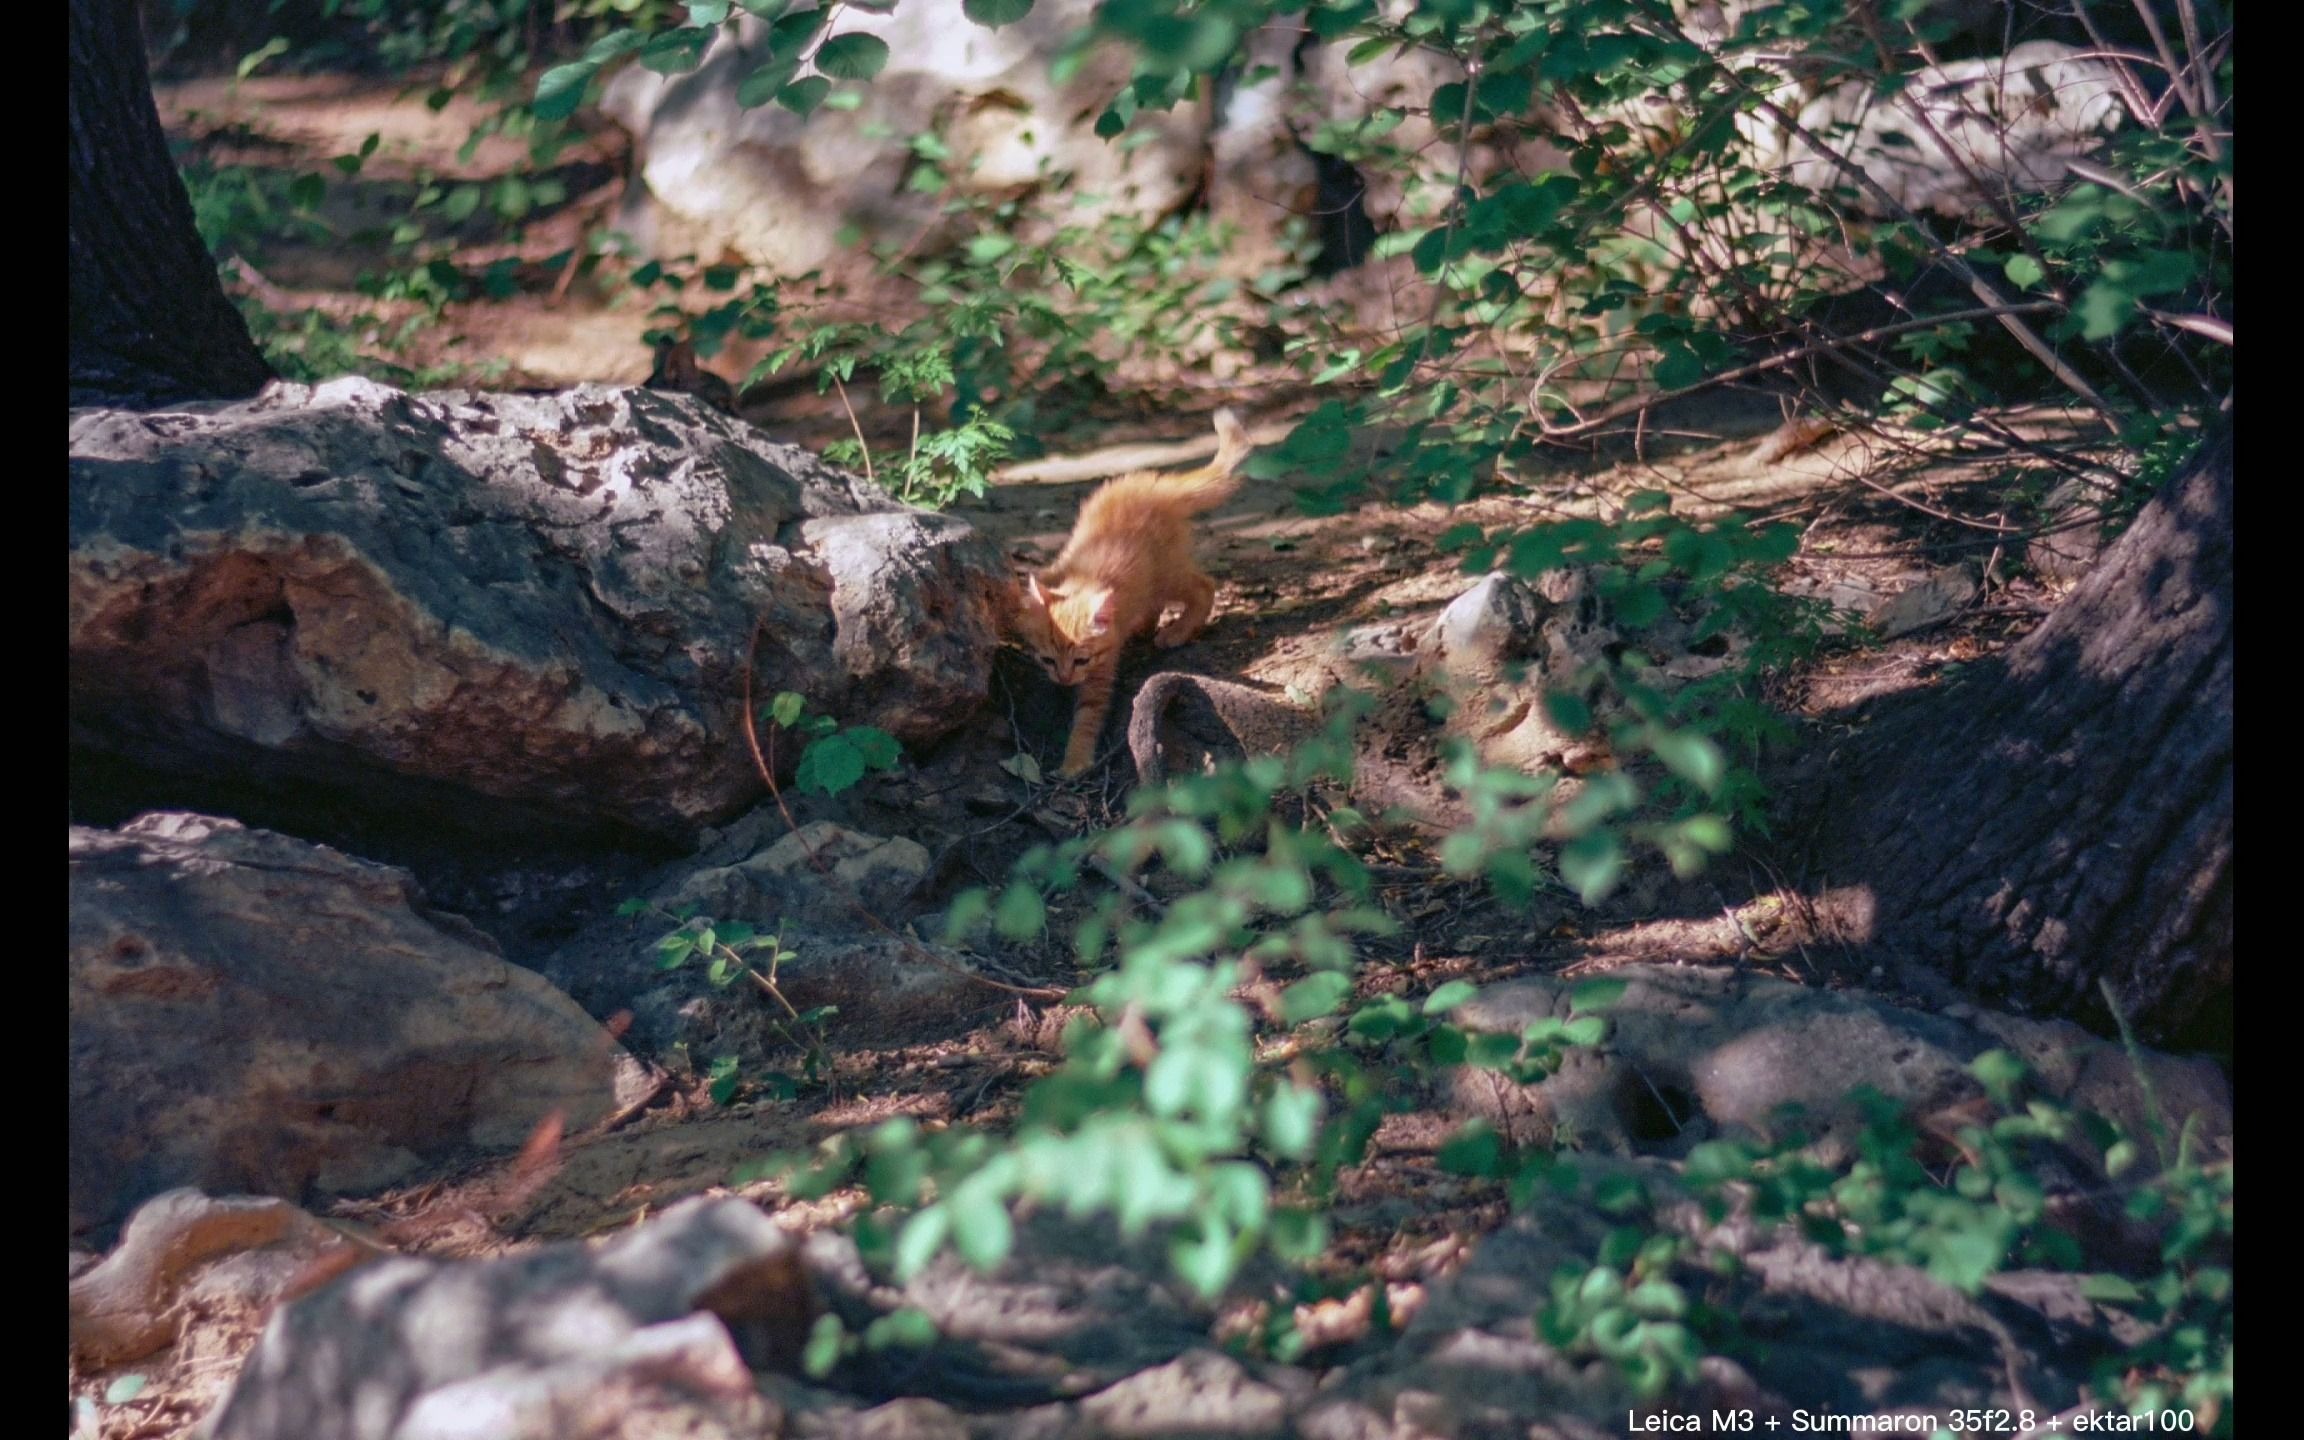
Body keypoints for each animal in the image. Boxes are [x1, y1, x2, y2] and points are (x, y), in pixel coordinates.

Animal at [1013, 407, 1253, 774]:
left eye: (1082, 660)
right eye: (1047, 659)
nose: (1065, 679)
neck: (1083, 579)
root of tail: (1161, 487)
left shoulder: (1102, 670)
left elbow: (1088, 716)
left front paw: (1075, 761)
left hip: (1166, 572)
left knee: (1204, 586)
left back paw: (1176, 632)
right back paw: (1144, 626)